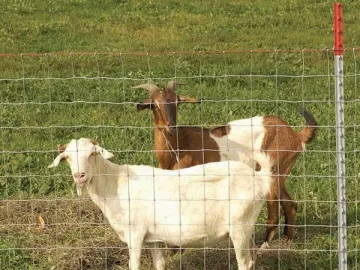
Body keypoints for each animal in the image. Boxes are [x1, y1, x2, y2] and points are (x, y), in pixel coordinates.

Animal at [48, 138, 272, 268]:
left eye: (92, 154)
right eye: (67, 157)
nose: (79, 176)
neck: (114, 183)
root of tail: (260, 178)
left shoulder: (135, 234)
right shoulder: (153, 238)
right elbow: (159, 264)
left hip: (239, 226)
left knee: (245, 263)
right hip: (247, 228)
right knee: (252, 260)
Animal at [136, 80, 318, 247]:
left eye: (177, 102)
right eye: (154, 105)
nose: (171, 127)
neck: (178, 147)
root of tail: (295, 135)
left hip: (274, 170)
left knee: (274, 212)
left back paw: (264, 246)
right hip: (281, 172)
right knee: (290, 205)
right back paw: (287, 240)